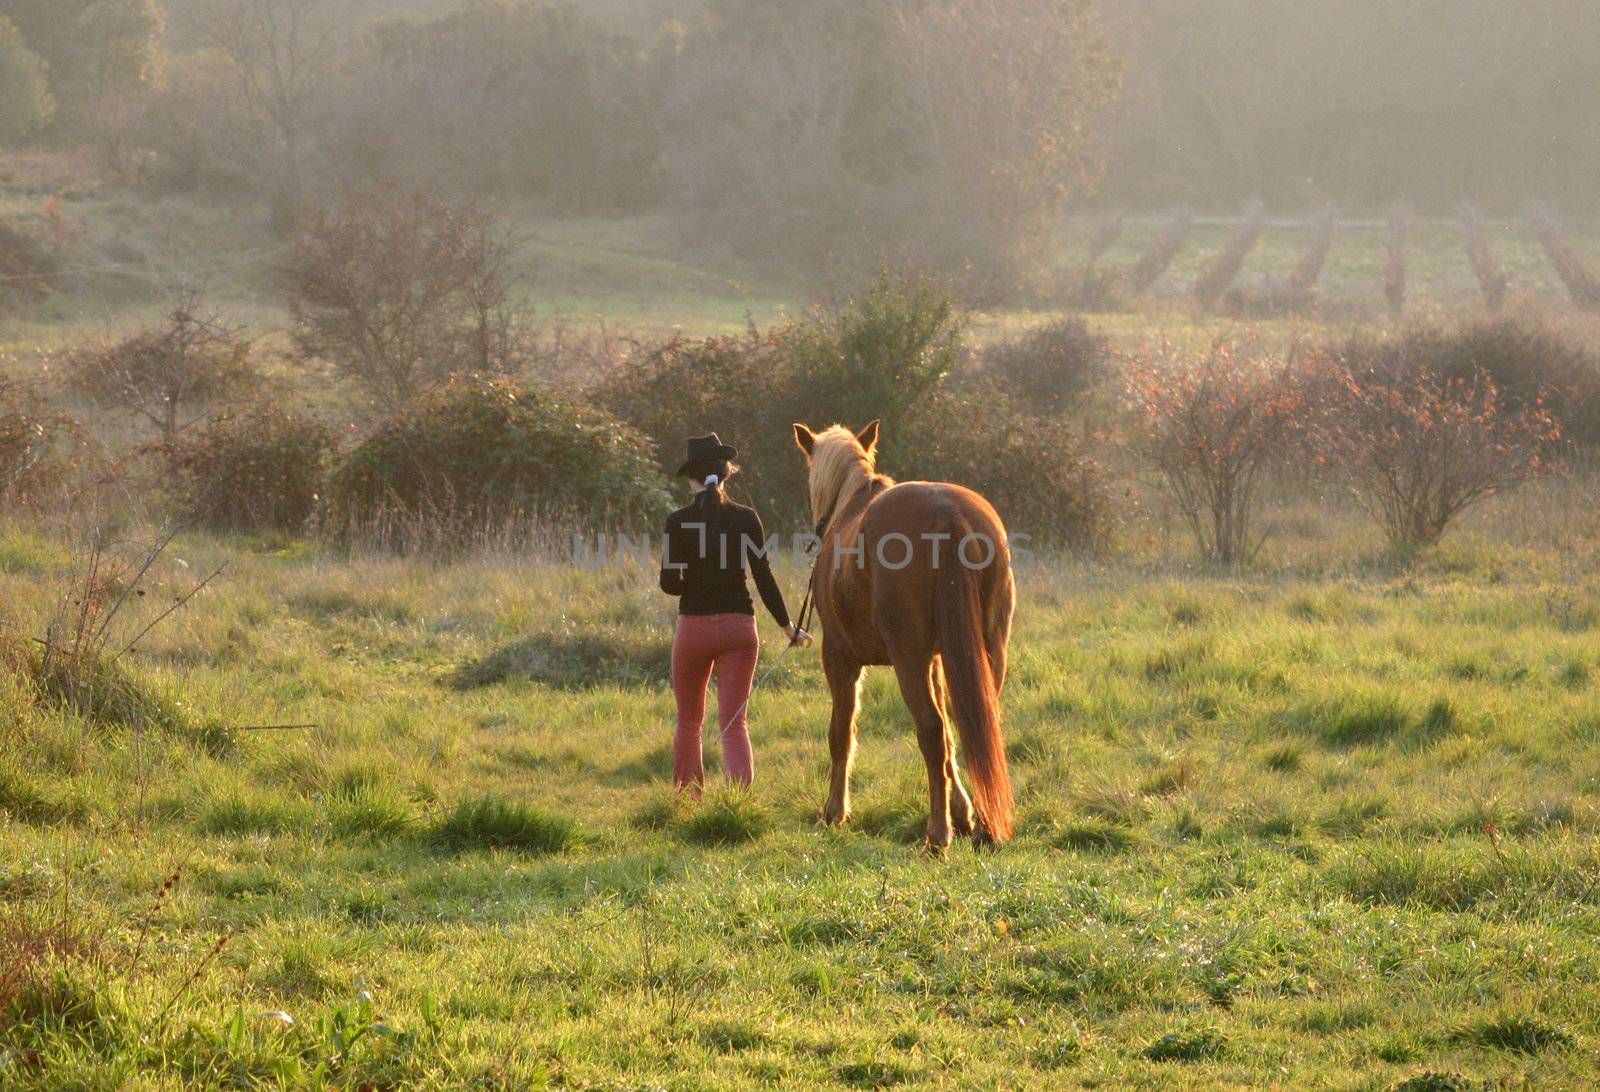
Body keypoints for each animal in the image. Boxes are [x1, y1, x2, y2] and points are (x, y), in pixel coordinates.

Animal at [796, 419, 1017, 851]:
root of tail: (948, 514)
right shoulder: (937, 660)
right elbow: (952, 741)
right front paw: (962, 812)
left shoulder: (840, 659)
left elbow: (840, 733)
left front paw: (834, 812)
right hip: (985, 651)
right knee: (974, 728)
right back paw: (983, 826)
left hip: (908, 659)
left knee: (930, 730)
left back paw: (937, 834)